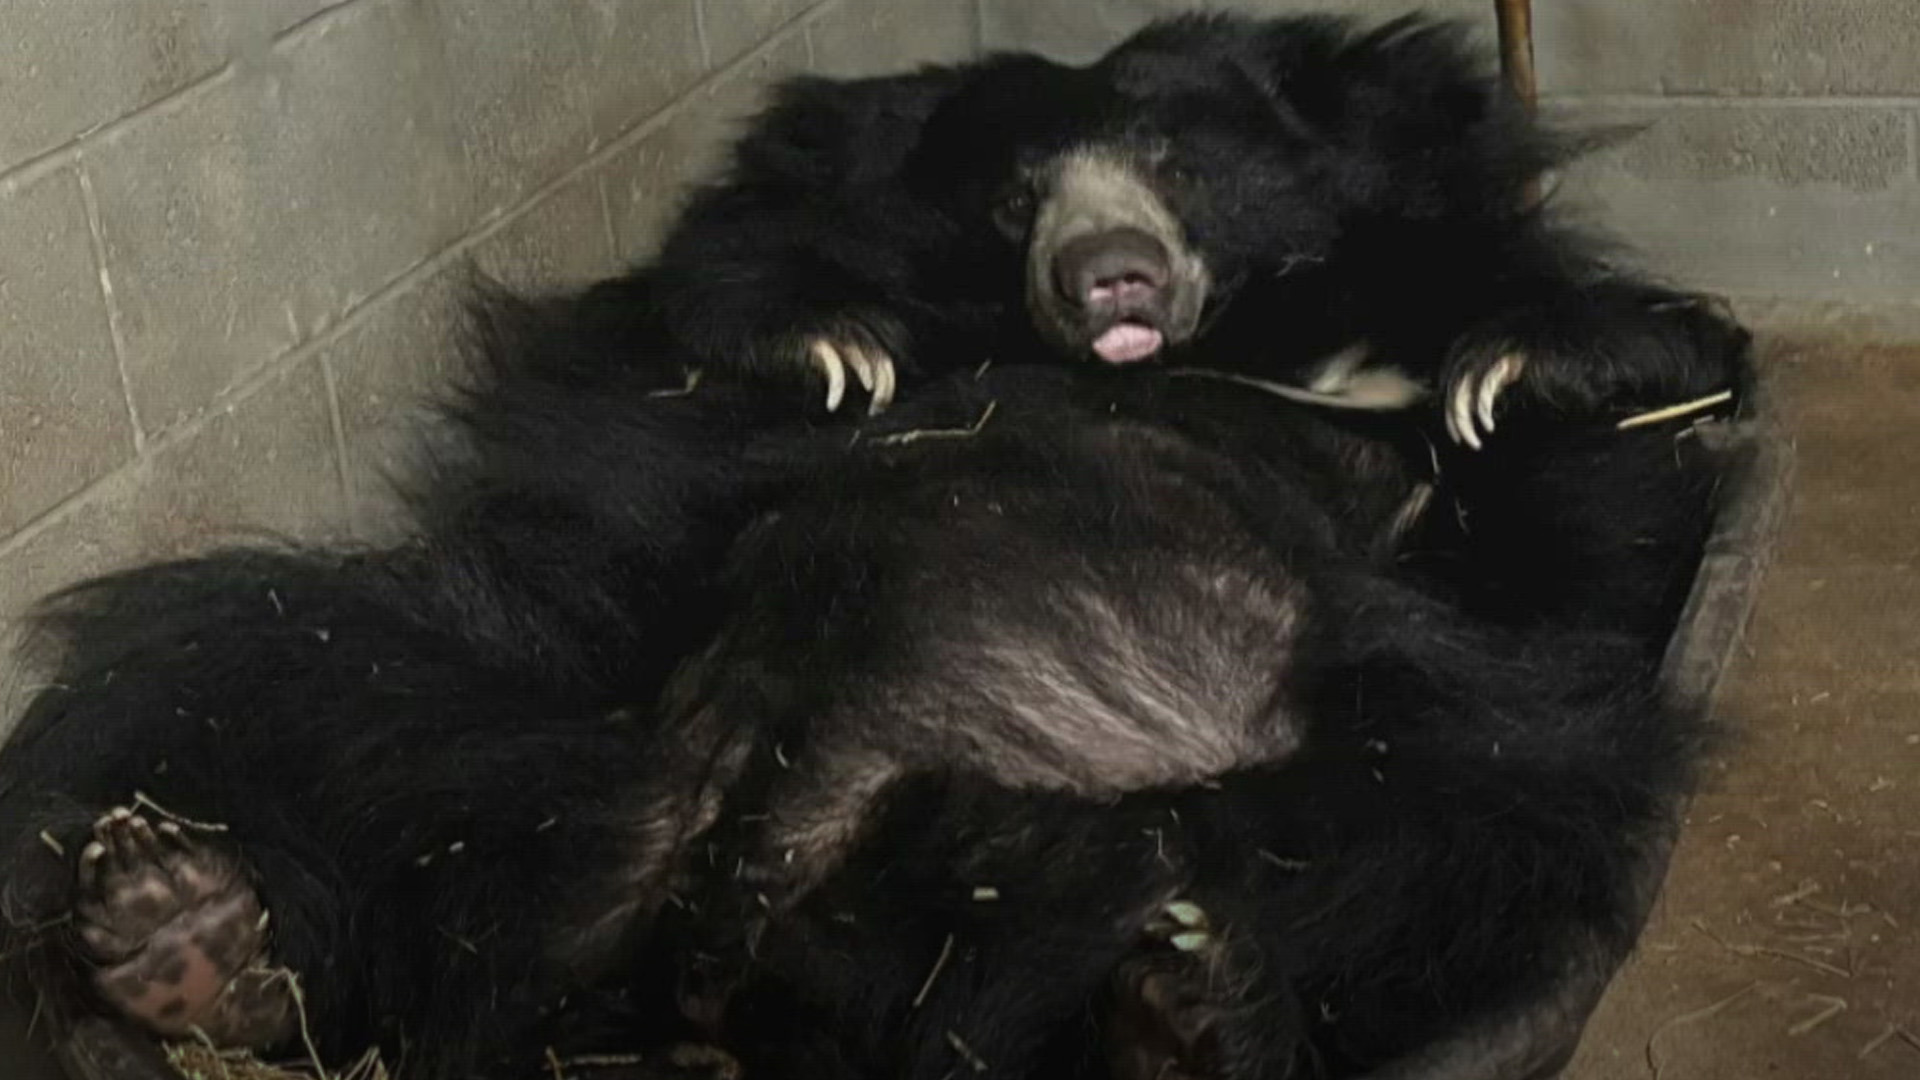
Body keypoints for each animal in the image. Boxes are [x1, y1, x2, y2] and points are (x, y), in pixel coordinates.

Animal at [0, 10, 1753, 1080]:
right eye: (1016, 195)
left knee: (1435, 853)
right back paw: (176, 932)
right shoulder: (702, 386)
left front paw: (1518, 367)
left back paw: (1191, 1009)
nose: (1112, 277)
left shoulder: (1457, 422)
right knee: (283, 720)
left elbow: (1586, 455)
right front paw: (830, 347)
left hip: (1401, 767)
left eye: (1179, 166)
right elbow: (701, 346)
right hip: (508, 717)